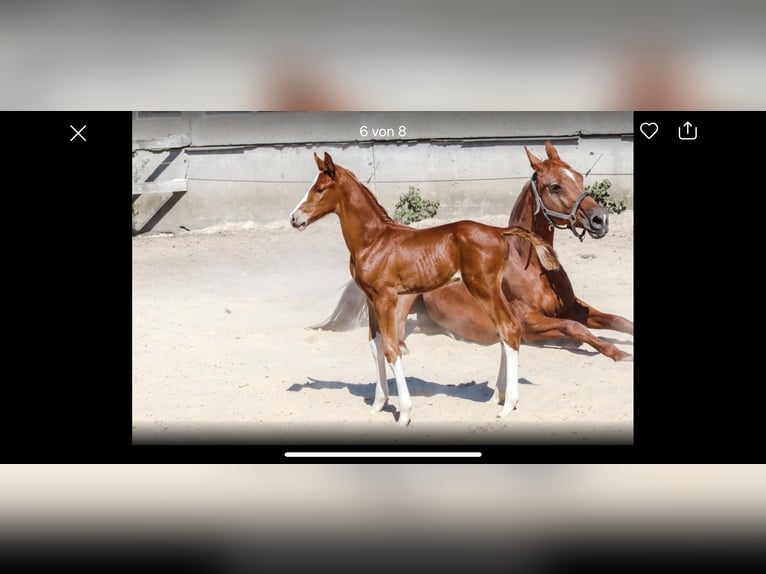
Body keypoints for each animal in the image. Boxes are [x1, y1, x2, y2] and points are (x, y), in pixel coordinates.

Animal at [290, 152, 560, 426]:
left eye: (320, 189)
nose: (294, 218)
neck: (373, 241)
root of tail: (498, 231)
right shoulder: (371, 299)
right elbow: (375, 346)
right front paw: (378, 404)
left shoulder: (386, 299)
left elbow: (391, 349)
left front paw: (404, 413)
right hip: (492, 290)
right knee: (507, 331)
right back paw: (497, 396)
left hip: (482, 288)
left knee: (509, 329)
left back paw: (508, 405)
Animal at [312, 141, 634, 366]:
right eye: (555, 186)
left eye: (579, 177)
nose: (600, 219)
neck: (533, 266)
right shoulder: (528, 323)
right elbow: (576, 329)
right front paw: (617, 352)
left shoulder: (574, 307)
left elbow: (618, 321)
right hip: (405, 298)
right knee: (398, 329)